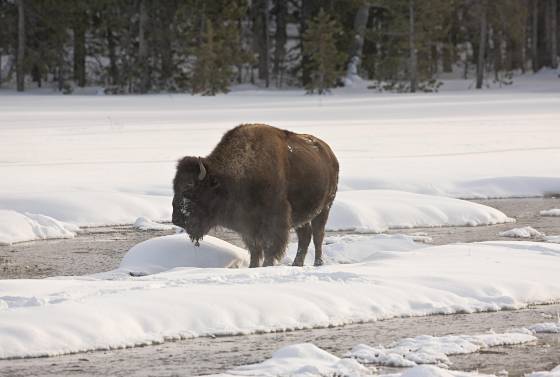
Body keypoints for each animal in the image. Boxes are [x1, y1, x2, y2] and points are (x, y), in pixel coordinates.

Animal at [172, 123, 336, 268]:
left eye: (189, 188)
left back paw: (318, 263)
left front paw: (266, 266)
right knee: (305, 236)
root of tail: (329, 153)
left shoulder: (274, 222)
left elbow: (269, 248)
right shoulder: (248, 225)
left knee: (318, 236)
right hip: (302, 217)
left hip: (324, 208)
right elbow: (255, 249)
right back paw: (297, 264)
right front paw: (253, 266)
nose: (176, 220)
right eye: (175, 186)